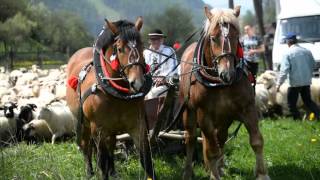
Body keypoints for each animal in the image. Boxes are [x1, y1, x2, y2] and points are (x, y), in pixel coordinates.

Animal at [66, 17, 155, 180]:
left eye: (142, 46)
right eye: (119, 49)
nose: (138, 83)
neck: (117, 96)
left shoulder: (138, 126)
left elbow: (147, 161)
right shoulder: (98, 130)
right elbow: (101, 162)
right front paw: (99, 170)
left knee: (111, 146)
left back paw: (112, 170)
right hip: (82, 122)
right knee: (87, 146)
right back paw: (89, 171)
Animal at [180, 6, 270, 179]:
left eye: (236, 36)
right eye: (213, 38)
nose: (227, 74)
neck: (219, 84)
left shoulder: (247, 108)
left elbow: (257, 141)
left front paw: (262, 174)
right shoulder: (204, 115)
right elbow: (211, 151)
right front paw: (214, 175)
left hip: (224, 117)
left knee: (220, 138)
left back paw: (220, 166)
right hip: (189, 110)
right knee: (191, 138)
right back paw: (188, 171)